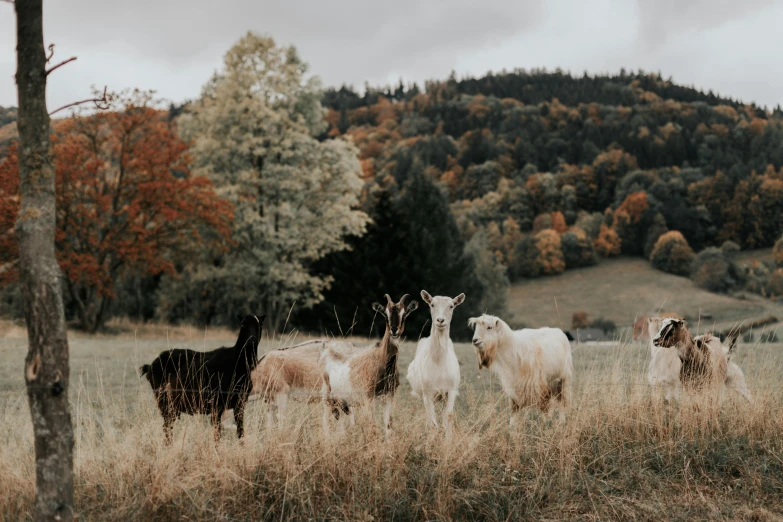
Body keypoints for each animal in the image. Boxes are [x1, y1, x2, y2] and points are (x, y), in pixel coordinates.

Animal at [316, 292, 420, 434]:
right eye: (385, 314)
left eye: (404, 314)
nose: (394, 330)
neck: (381, 360)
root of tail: (326, 352)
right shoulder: (368, 395)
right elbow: (372, 426)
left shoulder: (389, 394)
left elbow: (389, 424)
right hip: (327, 395)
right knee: (326, 420)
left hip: (342, 400)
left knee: (340, 420)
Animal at [404, 288, 466, 434]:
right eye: (432, 304)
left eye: (451, 306)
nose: (440, 320)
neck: (438, 363)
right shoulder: (428, 391)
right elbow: (432, 421)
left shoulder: (451, 390)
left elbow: (448, 417)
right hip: (420, 393)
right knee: (427, 416)